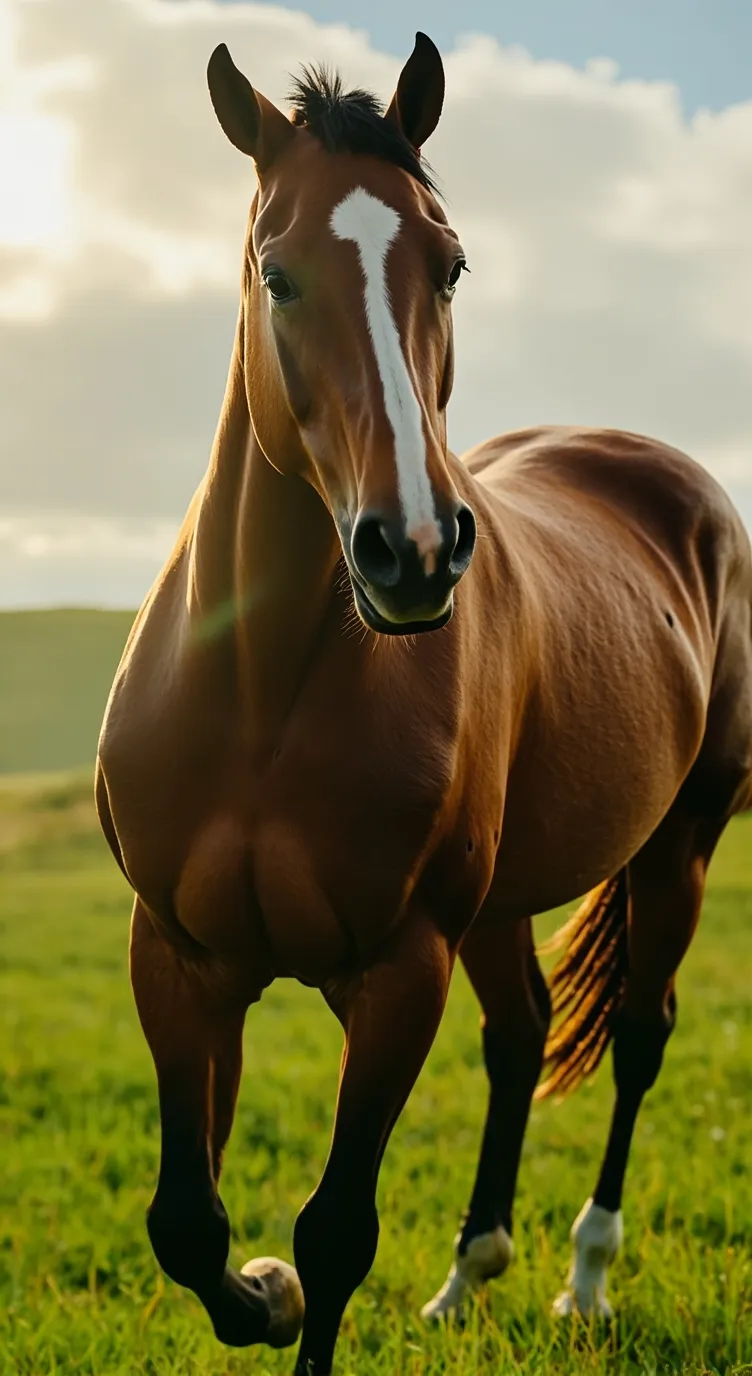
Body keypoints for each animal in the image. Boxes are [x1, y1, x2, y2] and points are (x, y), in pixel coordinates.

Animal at [95, 31, 752, 1375]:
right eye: (277, 272)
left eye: (448, 263)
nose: (411, 549)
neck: (262, 698)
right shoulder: (177, 956)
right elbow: (187, 1218)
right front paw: (263, 1291)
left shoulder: (400, 973)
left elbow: (337, 1226)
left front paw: (292, 1285)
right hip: (499, 903)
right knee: (520, 1031)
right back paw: (466, 1274)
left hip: (678, 847)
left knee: (638, 1034)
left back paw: (581, 1280)